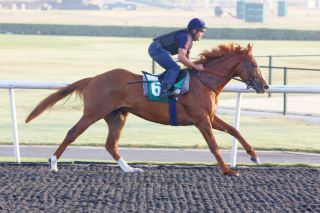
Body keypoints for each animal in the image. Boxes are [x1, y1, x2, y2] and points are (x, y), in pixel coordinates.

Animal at [26, 42, 268, 175]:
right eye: (254, 64)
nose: (265, 86)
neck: (204, 82)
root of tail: (94, 78)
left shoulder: (210, 117)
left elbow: (234, 130)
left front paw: (254, 156)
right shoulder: (201, 120)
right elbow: (214, 146)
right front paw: (227, 170)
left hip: (117, 116)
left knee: (111, 144)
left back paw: (129, 169)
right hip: (94, 112)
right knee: (72, 133)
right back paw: (53, 163)